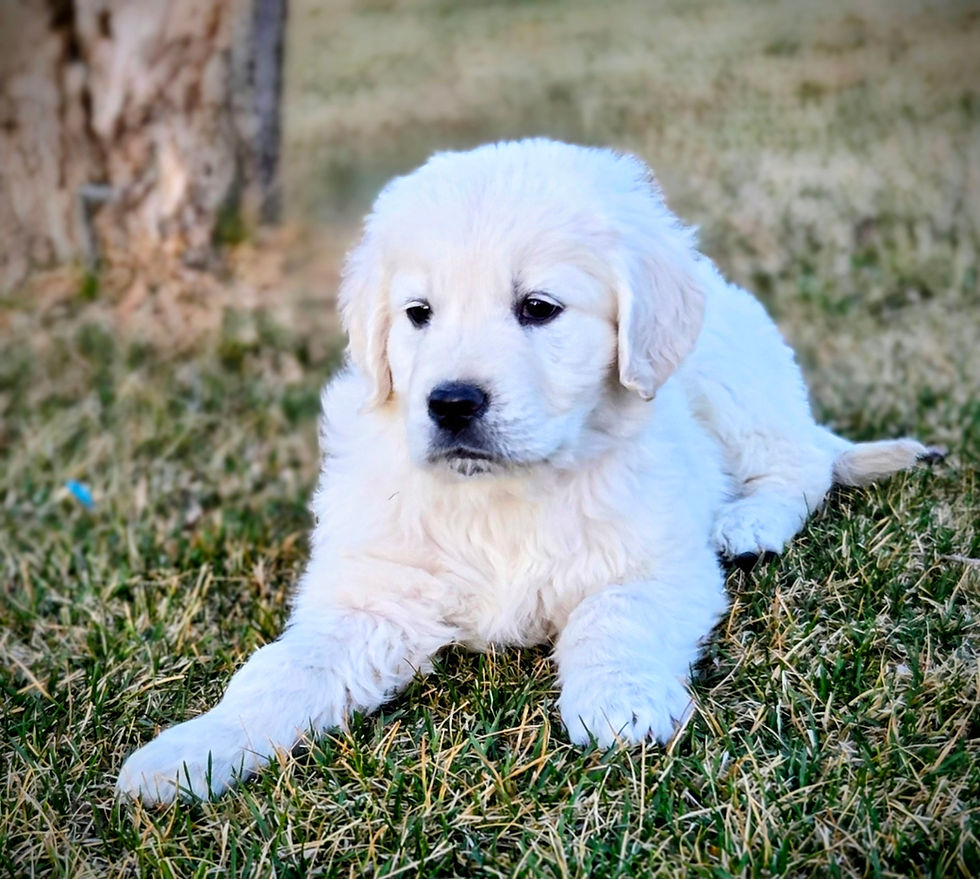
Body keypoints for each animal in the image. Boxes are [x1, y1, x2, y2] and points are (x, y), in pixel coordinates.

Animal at [117, 139, 942, 804]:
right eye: (417, 312)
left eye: (539, 307)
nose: (451, 403)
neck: (503, 493)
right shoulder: (374, 596)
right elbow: (279, 672)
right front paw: (188, 753)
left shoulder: (657, 563)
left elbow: (613, 616)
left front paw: (618, 702)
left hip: (737, 377)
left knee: (801, 461)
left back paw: (749, 519)